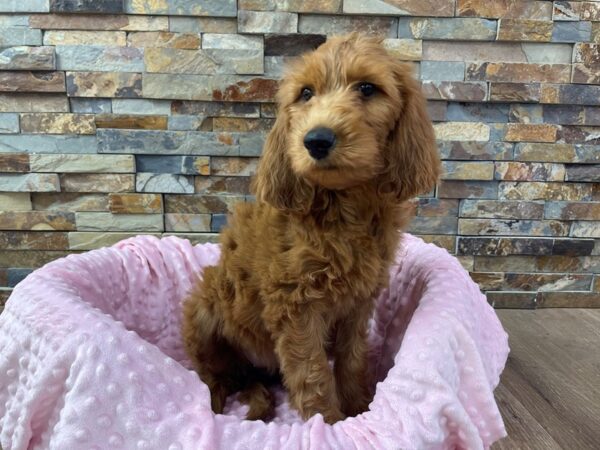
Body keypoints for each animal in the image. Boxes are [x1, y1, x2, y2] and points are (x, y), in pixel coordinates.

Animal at [180, 33, 438, 424]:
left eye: (367, 88)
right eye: (305, 93)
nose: (316, 140)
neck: (344, 207)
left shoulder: (358, 304)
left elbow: (352, 358)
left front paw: (358, 407)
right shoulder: (295, 306)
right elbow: (312, 371)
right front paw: (327, 423)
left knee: (246, 378)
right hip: (205, 309)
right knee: (216, 376)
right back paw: (220, 404)